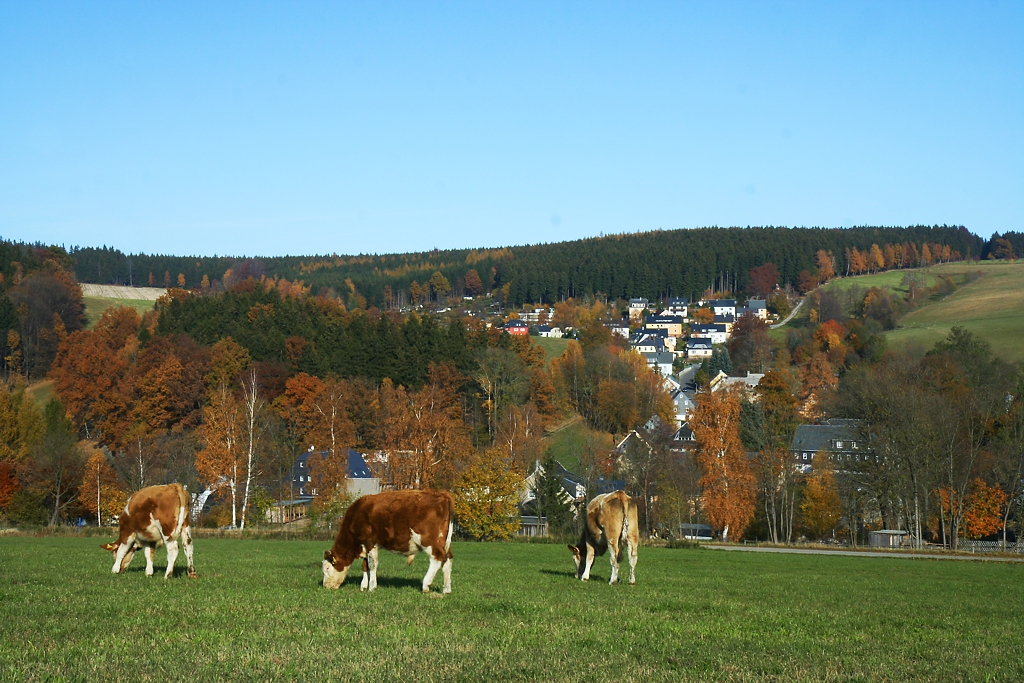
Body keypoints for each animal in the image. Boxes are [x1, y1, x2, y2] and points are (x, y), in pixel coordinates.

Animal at [321, 491, 454, 593]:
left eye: (327, 568)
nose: (325, 586)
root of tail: (443, 495)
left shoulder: (370, 542)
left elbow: (372, 564)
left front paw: (372, 587)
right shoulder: (365, 545)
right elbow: (365, 565)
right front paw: (363, 586)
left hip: (428, 540)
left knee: (438, 557)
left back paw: (426, 585)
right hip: (444, 540)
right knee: (447, 559)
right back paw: (446, 589)